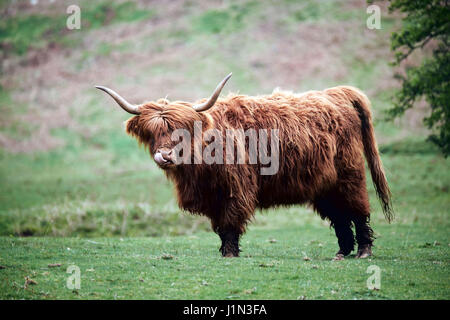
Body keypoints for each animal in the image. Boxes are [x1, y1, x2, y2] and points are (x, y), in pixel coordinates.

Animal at [96, 74, 392, 260]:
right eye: (153, 132)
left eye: (182, 131)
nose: (165, 155)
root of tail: (337, 93)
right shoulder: (212, 196)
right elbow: (219, 225)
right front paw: (226, 250)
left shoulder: (235, 188)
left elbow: (230, 221)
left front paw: (229, 253)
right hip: (324, 184)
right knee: (339, 215)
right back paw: (342, 251)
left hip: (349, 174)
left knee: (358, 210)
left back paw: (364, 251)